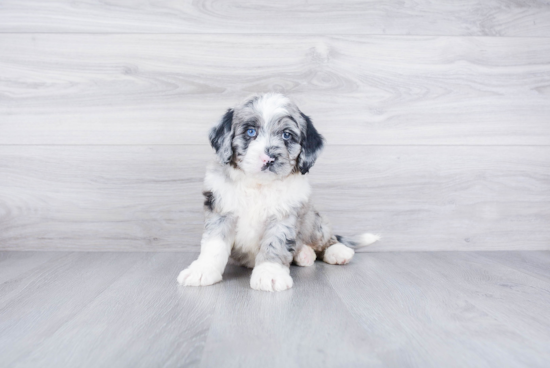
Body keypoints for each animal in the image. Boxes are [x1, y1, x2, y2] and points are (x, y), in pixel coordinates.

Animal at [177, 93, 380, 292]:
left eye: (286, 135)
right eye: (250, 132)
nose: (269, 158)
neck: (259, 185)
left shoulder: (284, 215)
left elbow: (275, 243)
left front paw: (269, 274)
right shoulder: (221, 209)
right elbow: (214, 244)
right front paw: (202, 270)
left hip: (313, 220)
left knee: (326, 237)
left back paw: (336, 251)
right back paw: (304, 254)